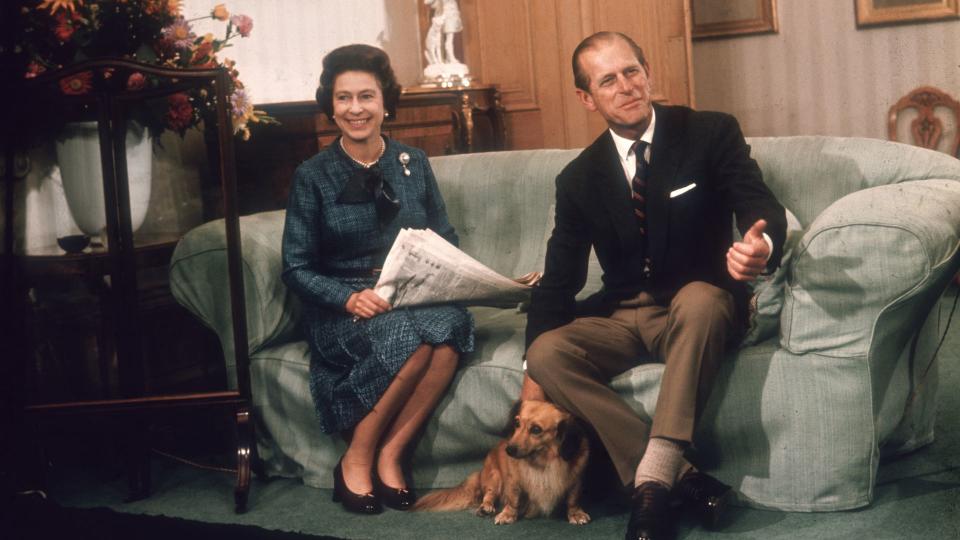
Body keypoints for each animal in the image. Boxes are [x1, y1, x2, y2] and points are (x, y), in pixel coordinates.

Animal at [414, 400, 592, 524]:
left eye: (536, 430)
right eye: (517, 423)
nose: (509, 450)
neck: (542, 463)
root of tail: (480, 474)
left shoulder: (576, 481)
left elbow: (572, 500)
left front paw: (575, 514)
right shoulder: (513, 482)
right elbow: (513, 500)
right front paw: (508, 515)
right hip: (494, 477)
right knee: (489, 494)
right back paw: (485, 507)